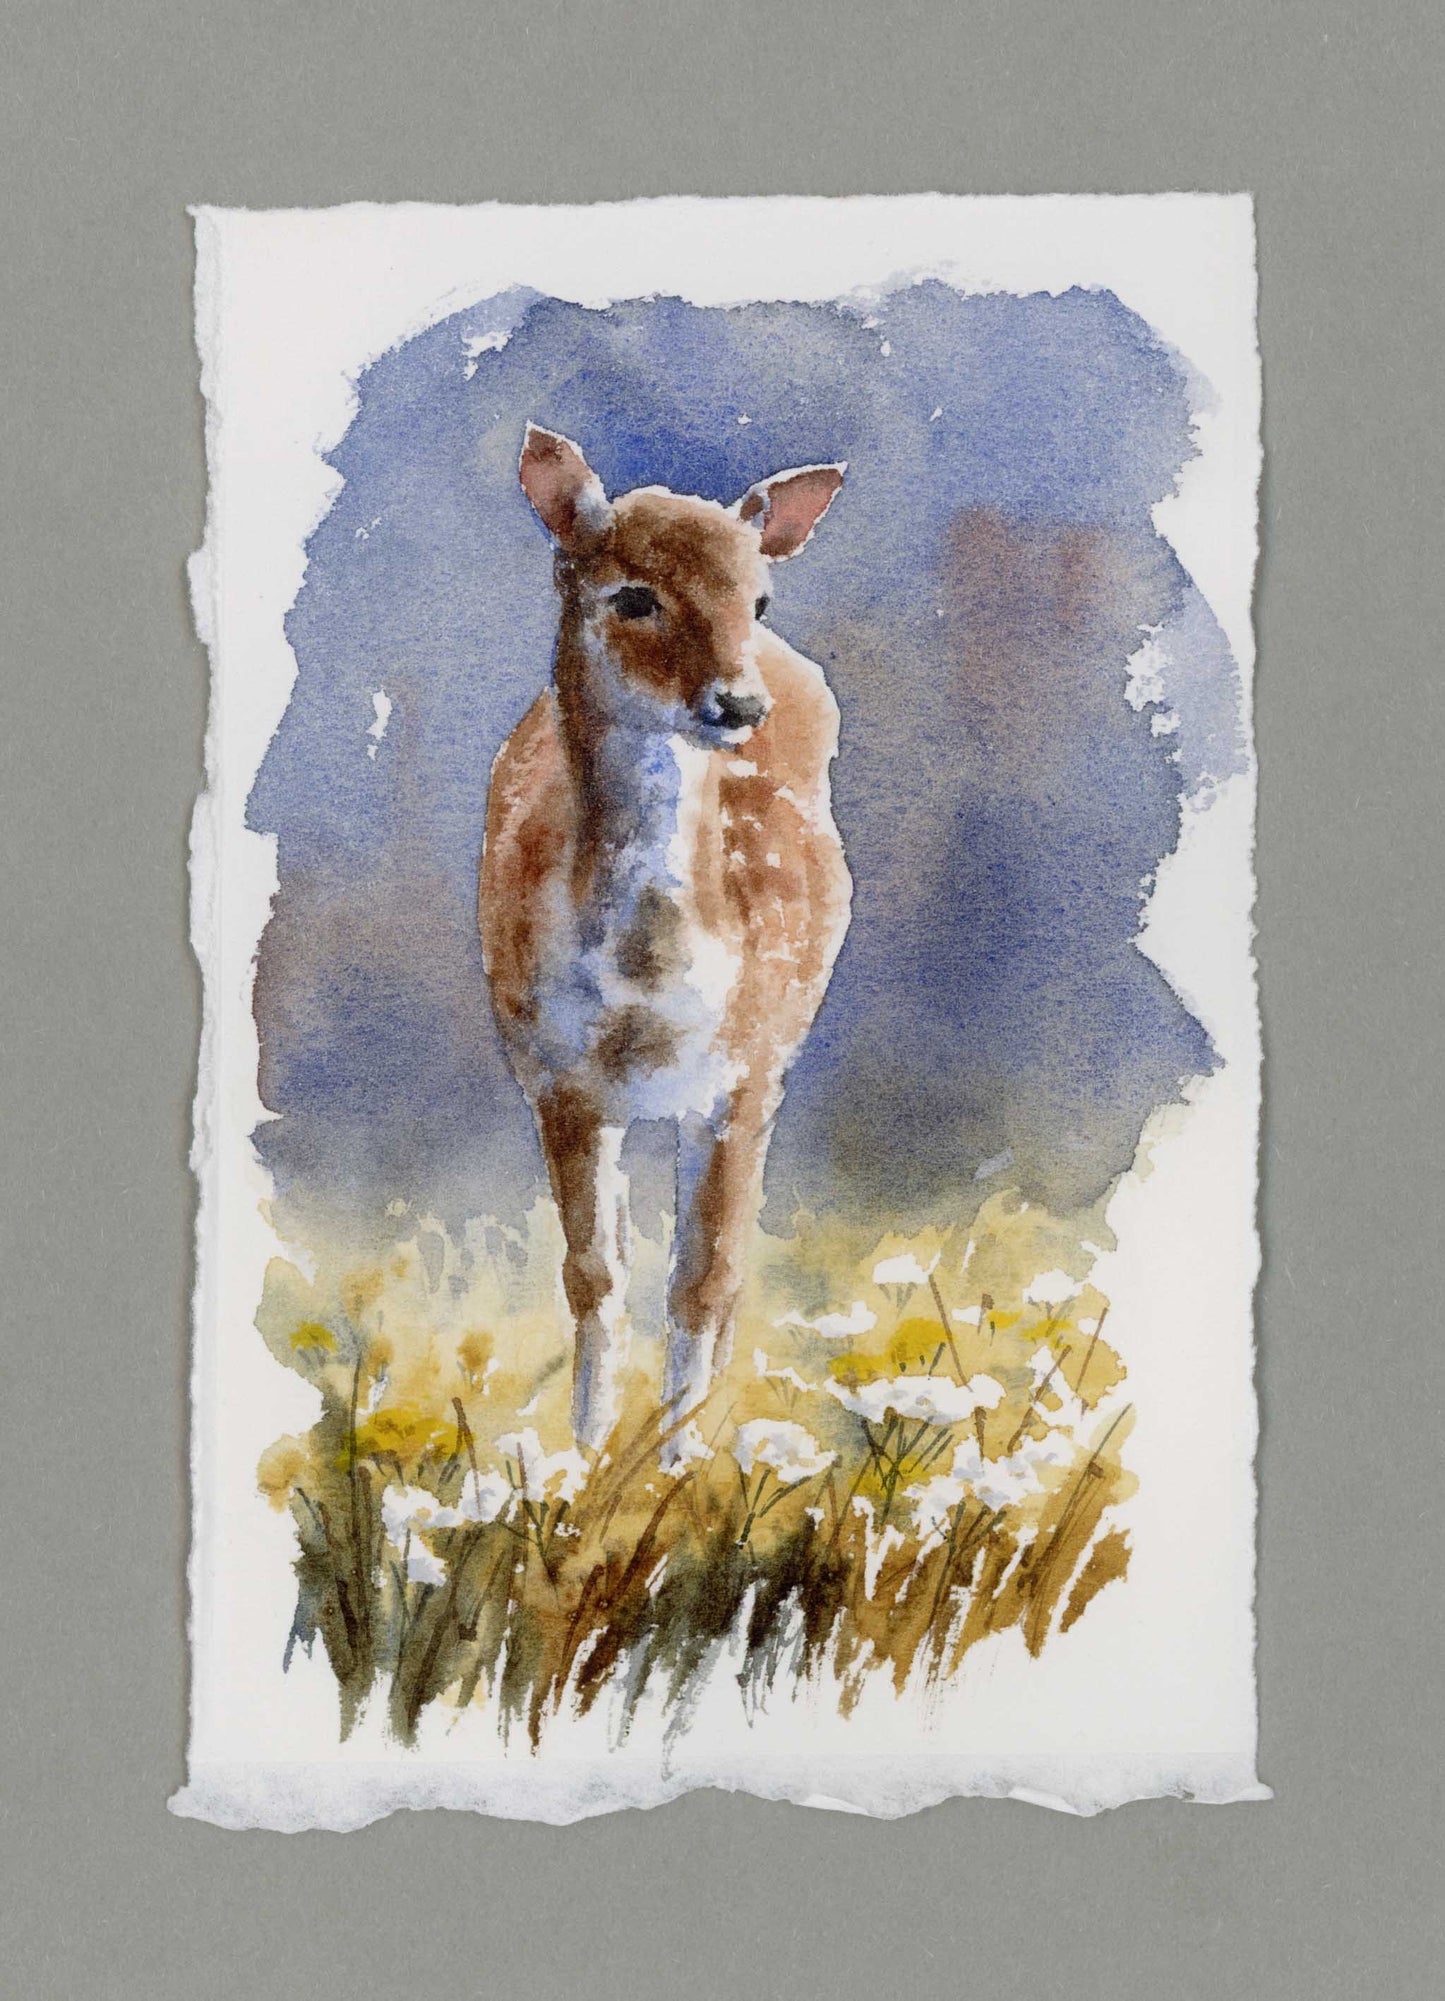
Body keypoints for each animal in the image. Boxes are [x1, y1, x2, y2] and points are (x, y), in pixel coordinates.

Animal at [479, 425, 852, 1455]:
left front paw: (676, 1469)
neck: (644, 990)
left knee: (725, 1270)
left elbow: (703, 1278)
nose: (738, 704)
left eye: (756, 598)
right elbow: (593, 1275)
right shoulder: (554, 1075)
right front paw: (583, 1460)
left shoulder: (744, 1073)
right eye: (633, 595)